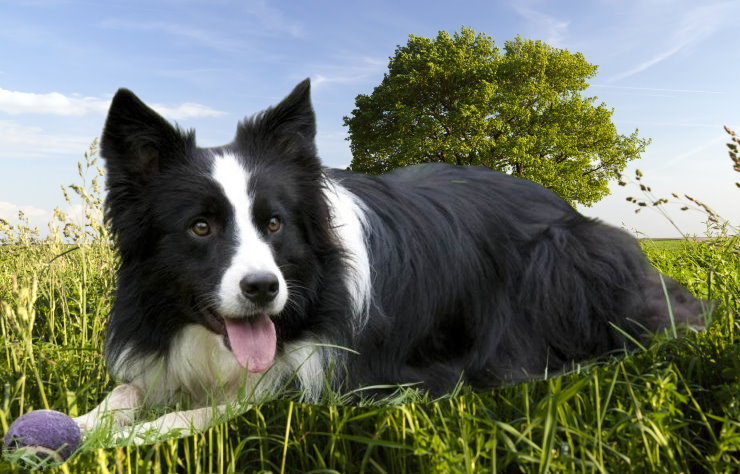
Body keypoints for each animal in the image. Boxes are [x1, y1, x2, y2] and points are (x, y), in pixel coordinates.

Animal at [73, 79, 704, 438]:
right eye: (200, 227)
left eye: (274, 223)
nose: (263, 289)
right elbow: (126, 394)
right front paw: (84, 426)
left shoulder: (331, 381)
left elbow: (229, 406)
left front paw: (131, 436)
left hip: (561, 264)